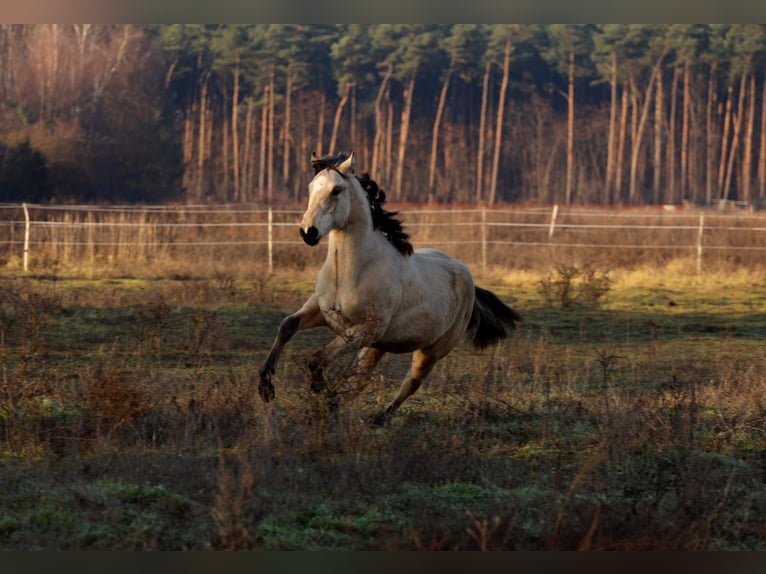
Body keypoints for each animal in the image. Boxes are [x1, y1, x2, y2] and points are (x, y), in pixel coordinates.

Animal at [258, 152, 521, 425]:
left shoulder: (366, 329)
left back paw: (378, 417)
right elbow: (287, 326)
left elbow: (318, 359)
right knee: (360, 380)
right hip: (378, 347)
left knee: (410, 383)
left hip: (431, 350)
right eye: (311, 187)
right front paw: (266, 387)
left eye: (336, 190)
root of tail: (467, 277)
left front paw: (319, 388)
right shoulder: (321, 312)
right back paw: (336, 408)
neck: (350, 272)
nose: (308, 232)